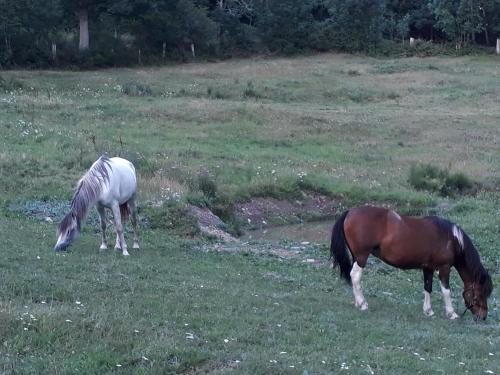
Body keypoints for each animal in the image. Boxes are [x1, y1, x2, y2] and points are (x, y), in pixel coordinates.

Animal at [332, 206, 492, 320]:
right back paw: (362, 303)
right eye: (481, 293)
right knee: (355, 276)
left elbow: (427, 287)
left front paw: (428, 311)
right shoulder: (444, 268)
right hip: (361, 257)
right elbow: (446, 291)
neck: (451, 239)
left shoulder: (428, 268)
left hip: (356, 257)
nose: (483, 316)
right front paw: (451, 313)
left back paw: (358, 302)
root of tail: (350, 212)